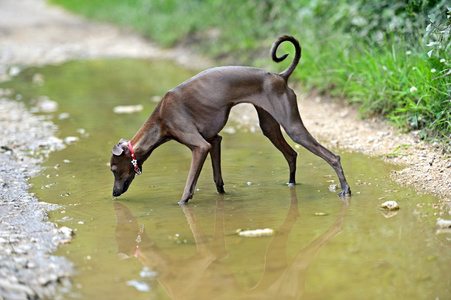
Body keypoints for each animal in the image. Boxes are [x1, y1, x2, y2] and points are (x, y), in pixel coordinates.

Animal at [111, 35, 352, 204]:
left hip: (293, 126)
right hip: (269, 125)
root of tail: (280, 76)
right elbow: (218, 178)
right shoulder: (214, 141)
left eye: (113, 169)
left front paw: (182, 203)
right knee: (291, 154)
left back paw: (345, 189)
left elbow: (190, 184)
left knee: (333, 157)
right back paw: (291, 183)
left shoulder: (200, 146)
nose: (114, 193)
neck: (161, 118)